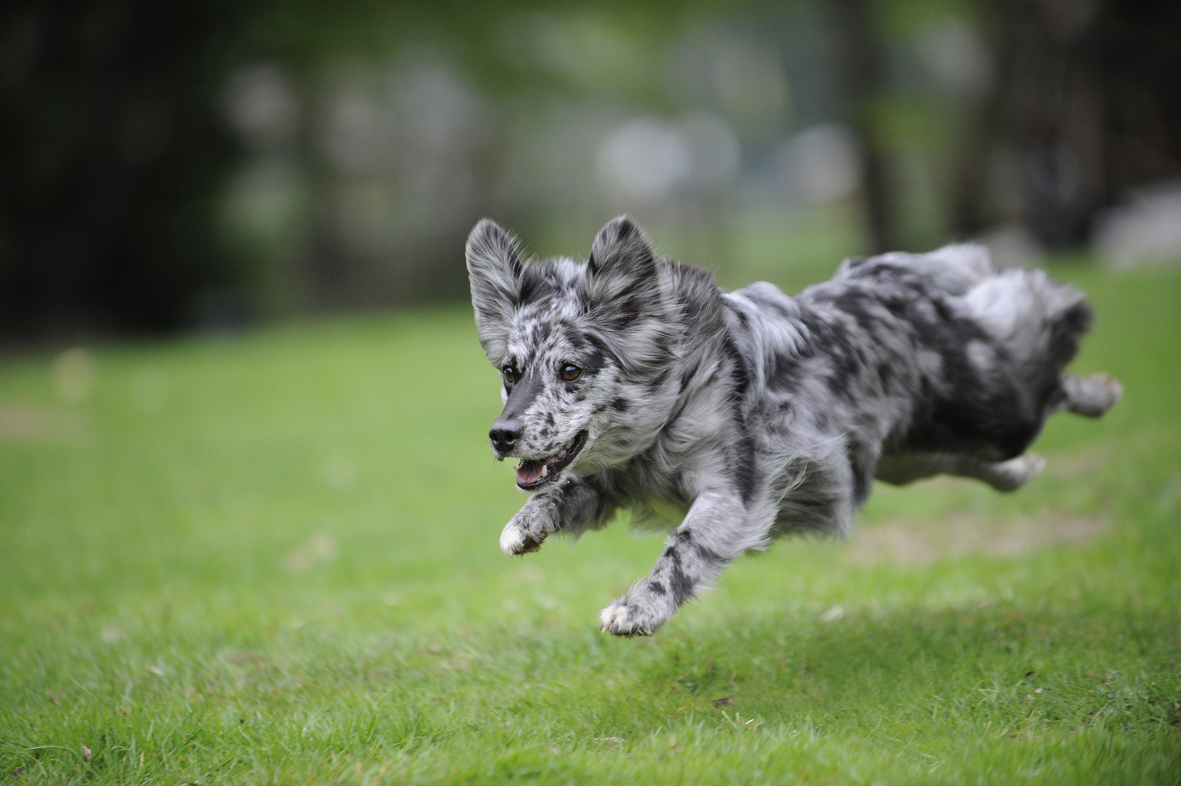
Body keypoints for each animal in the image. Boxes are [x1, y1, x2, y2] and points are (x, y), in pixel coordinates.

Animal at [465, 215, 1119, 637]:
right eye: (510, 372)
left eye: (570, 370)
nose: (501, 436)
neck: (675, 403)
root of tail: (896, 277)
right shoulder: (613, 480)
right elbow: (562, 490)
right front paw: (524, 526)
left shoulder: (732, 494)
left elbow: (683, 547)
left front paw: (637, 609)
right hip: (907, 457)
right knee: (980, 460)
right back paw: (1022, 470)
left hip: (996, 406)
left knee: (1047, 347)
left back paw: (1100, 389)